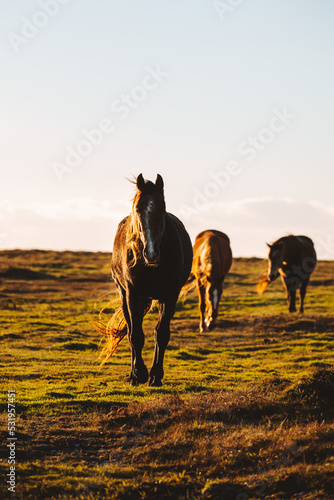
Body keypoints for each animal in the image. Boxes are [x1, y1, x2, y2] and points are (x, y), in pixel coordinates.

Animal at [100, 174, 192, 388]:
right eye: (138, 209)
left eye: (162, 207)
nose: (151, 253)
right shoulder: (133, 294)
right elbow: (135, 335)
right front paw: (139, 374)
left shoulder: (170, 295)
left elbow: (161, 334)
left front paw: (155, 375)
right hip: (124, 295)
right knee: (131, 330)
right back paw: (133, 373)